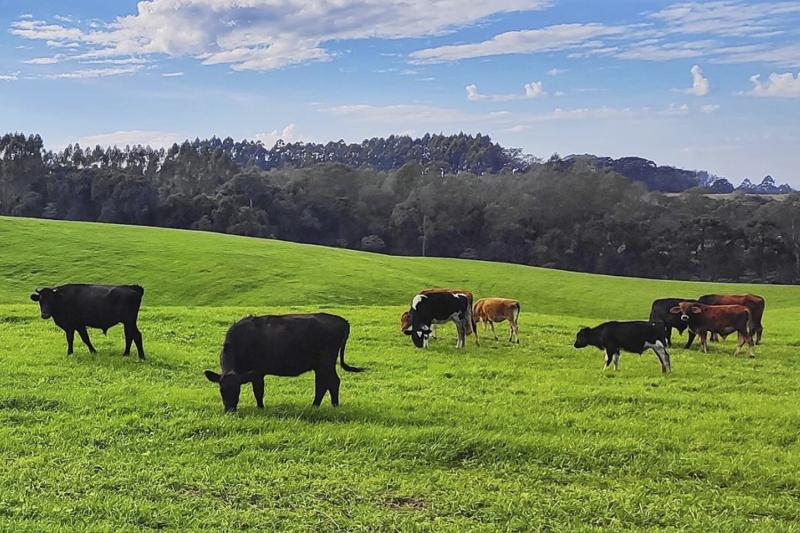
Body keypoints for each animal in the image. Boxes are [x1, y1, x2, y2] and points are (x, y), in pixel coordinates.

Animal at [202, 312, 364, 412]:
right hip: (321, 365)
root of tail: (342, 321)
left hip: (326, 361)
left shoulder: (257, 372)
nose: (229, 410)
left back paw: (330, 406)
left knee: (332, 382)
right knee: (324, 383)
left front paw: (261, 408)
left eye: (237, 390)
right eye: (221, 390)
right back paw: (319, 406)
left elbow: (258, 391)